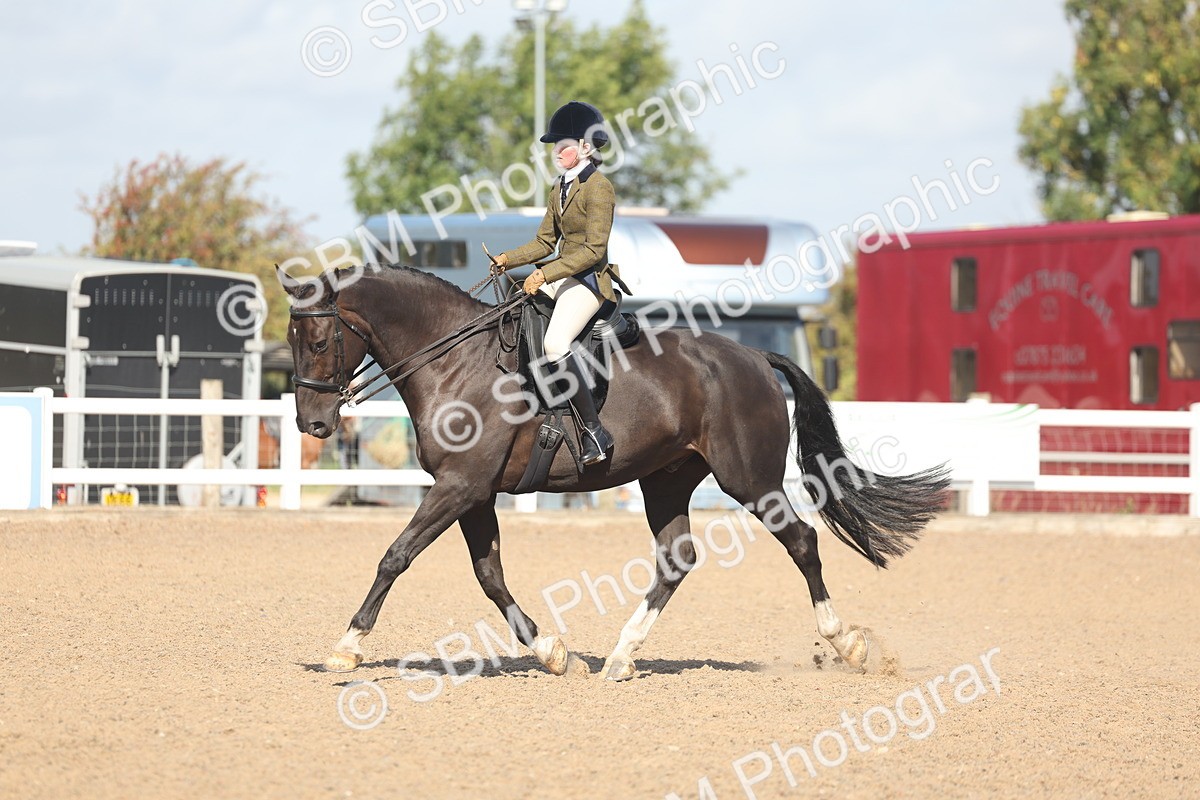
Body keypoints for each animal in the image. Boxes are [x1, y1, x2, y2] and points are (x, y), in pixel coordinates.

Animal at [278, 265, 949, 681]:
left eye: (319, 341)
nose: (312, 423)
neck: (456, 362)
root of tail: (754, 357)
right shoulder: (474, 494)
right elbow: (490, 576)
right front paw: (553, 653)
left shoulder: (460, 486)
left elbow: (396, 555)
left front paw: (346, 647)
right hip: (667, 480)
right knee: (677, 559)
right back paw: (621, 657)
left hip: (749, 480)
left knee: (803, 541)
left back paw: (847, 642)